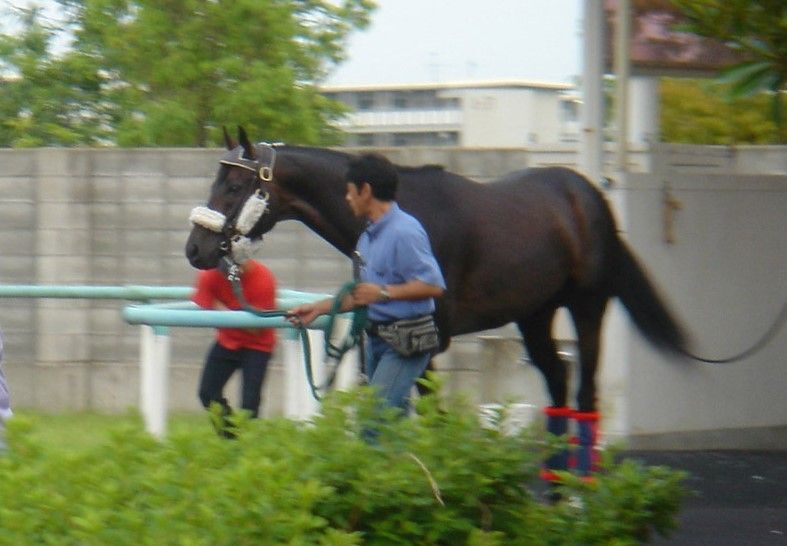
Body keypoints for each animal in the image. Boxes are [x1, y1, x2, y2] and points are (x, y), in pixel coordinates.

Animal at [183, 127, 684, 414]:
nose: (195, 248)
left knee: (584, 394)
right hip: (535, 313)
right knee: (559, 383)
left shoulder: (430, 339)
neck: (398, 211)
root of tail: (588, 193)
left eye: (233, 185)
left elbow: (428, 416)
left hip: (587, 306)